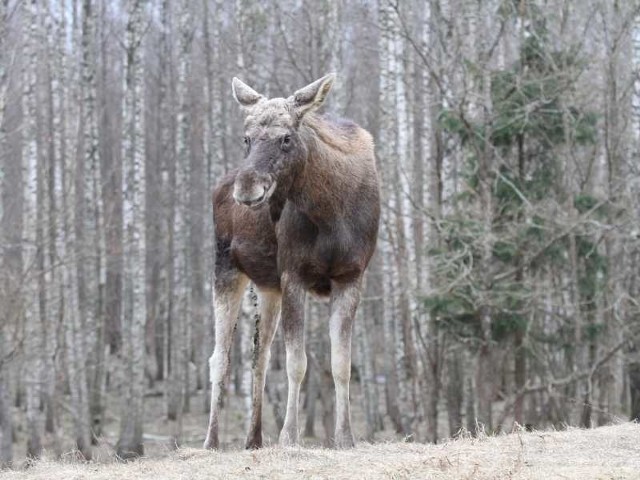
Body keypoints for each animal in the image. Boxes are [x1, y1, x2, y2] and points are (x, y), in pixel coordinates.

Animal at [204, 73, 380, 448]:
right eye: (246, 137)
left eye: (286, 137)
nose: (246, 188)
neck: (331, 213)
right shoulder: (294, 274)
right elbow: (297, 362)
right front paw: (289, 436)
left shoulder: (351, 275)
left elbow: (341, 363)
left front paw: (345, 437)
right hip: (226, 267)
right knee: (220, 357)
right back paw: (211, 441)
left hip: (268, 286)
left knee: (259, 357)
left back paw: (254, 438)